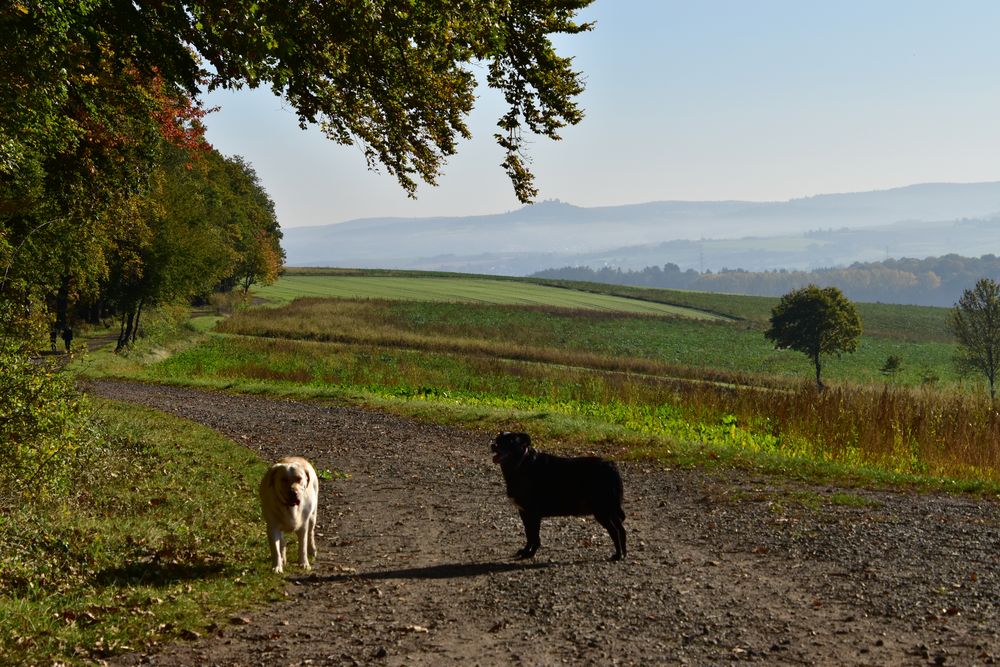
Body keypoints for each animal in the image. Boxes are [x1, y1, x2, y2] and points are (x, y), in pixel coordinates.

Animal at [490, 430, 624, 560]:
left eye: (511, 441)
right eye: (498, 439)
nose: (493, 445)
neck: (521, 464)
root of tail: (611, 465)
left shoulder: (533, 513)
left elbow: (534, 536)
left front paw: (531, 553)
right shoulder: (524, 512)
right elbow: (529, 534)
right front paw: (525, 551)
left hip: (602, 509)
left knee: (615, 531)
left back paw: (617, 555)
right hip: (609, 509)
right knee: (621, 529)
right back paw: (623, 554)